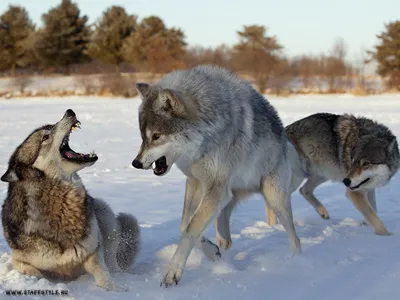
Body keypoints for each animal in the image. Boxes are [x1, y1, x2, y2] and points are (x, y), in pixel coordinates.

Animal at [0, 109, 141, 292]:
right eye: (46, 136)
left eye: (51, 126)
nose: (69, 111)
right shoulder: (20, 261)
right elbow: (34, 273)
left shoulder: (94, 250)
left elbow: (103, 272)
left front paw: (116, 290)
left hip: (104, 212)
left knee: (113, 263)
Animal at [130, 65, 300, 286]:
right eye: (143, 137)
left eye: (156, 136)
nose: (136, 163)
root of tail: (284, 137)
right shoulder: (196, 181)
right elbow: (185, 224)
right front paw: (211, 251)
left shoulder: (214, 188)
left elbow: (190, 228)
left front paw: (172, 273)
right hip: (230, 193)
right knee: (224, 219)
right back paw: (223, 241)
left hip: (274, 198)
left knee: (295, 238)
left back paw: (296, 262)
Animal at [268, 111, 398, 236]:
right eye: (352, 161)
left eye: (366, 163)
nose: (346, 181)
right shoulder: (354, 192)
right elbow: (374, 217)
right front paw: (386, 236)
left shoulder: (368, 188)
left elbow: (373, 210)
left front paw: (366, 224)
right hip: (298, 177)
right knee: (274, 198)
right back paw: (274, 227)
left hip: (322, 175)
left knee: (303, 190)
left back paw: (322, 212)